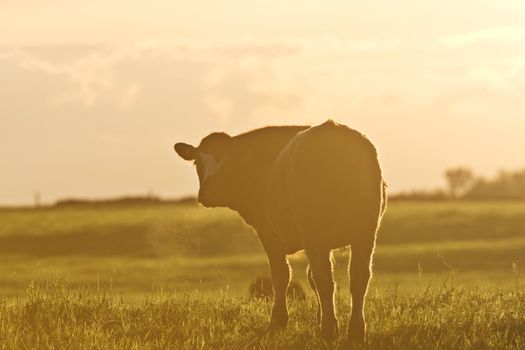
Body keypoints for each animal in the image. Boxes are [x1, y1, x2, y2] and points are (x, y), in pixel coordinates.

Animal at [174, 120, 386, 344]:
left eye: (228, 161)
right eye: (198, 163)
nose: (208, 192)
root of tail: (332, 131)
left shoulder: (268, 233)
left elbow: (281, 275)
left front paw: (278, 321)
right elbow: (311, 277)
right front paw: (318, 317)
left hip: (316, 231)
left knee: (325, 278)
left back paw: (329, 330)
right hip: (365, 231)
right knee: (358, 276)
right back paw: (355, 331)